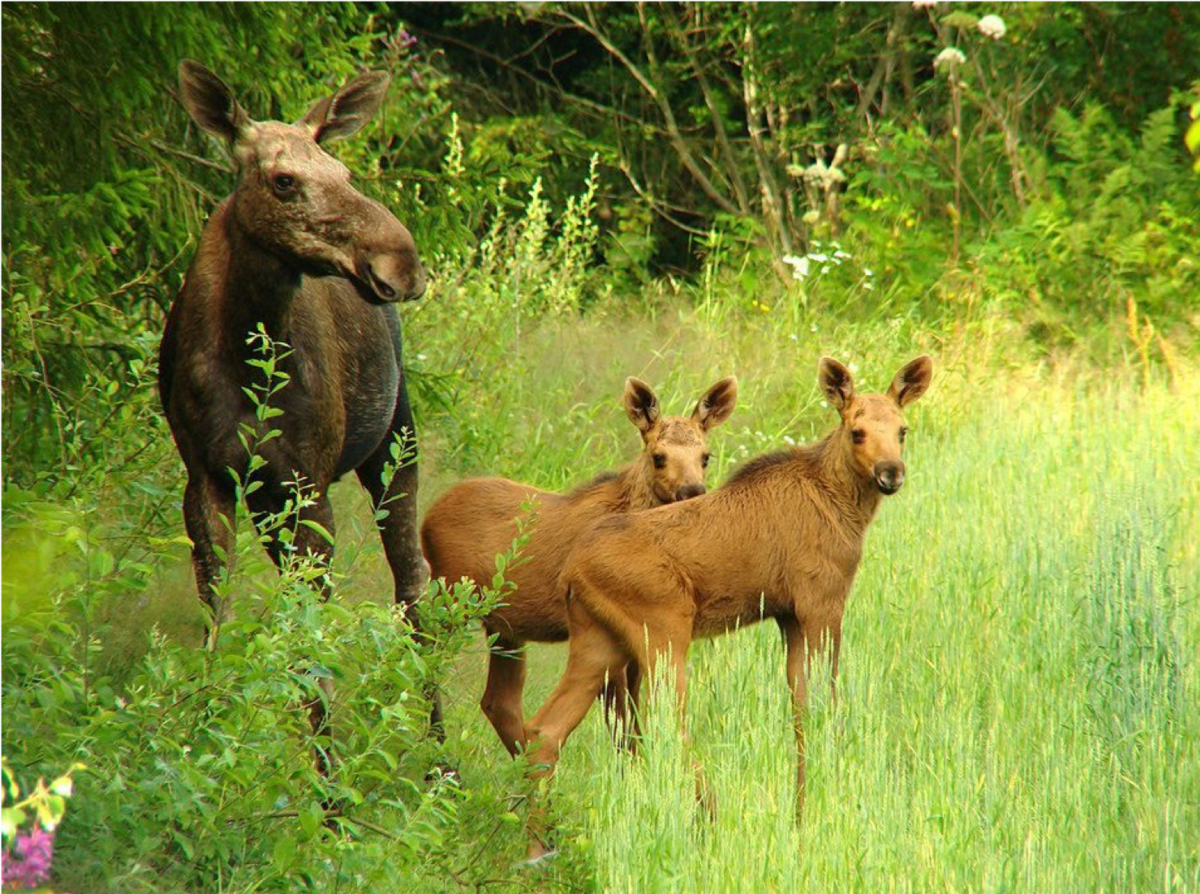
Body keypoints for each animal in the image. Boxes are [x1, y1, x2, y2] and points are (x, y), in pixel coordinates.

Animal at [160, 60, 427, 648]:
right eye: (284, 180)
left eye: (344, 174)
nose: (402, 261)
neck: (244, 363)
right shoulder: (208, 473)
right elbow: (217, 606)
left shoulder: (307, 480)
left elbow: (306, 618)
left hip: (397, 436)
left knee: (413, 572)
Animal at [422, 372, 739, 758]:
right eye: (658, 456)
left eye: (705, 456)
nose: (692, 491)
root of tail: (427, 518)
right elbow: (622, 726)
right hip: (446, 602)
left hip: (504, 626)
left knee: (498, 701)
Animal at [523, 352, 926, 854]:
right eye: (857, 431)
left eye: (903, 430)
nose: (891, 473)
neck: (847, 509)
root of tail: (571, 571)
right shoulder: (822, 600)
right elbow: (824, 705)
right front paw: (826, 808)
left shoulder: (788, 615)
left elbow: (799, 710)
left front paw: (801, 815)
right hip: (663, 627)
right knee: (661, 721)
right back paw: (711, 815)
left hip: (597, 640)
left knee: (546, 729)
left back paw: (536, 848)